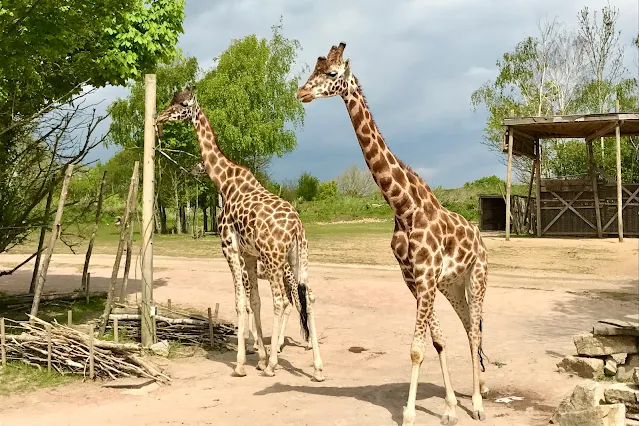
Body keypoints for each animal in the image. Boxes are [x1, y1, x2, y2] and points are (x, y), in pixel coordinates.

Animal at [156, 85, 324, 380]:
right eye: (172, 100)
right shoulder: (249, 255)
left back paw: (273, 366)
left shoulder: (230, 248)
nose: (160, 117)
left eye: (183, 104)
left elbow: (239, 302)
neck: (224, 182)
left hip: (274, 260)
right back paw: (316, 367)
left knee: (282, 301)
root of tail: (296, 226)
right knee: (309, 298)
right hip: (298, 258)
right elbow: (254, 302)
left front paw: (242, 363)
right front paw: (259, 356)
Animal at [298, 44, 490, 426]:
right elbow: (437, 341)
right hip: (453, 285)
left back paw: (478, 404)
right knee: (466, 329)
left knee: (476, 330)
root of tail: (480, 239)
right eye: (314, 69)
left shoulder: (426, 276)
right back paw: (468, 399)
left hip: (477, 277)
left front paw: (411, 413)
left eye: (332, 74)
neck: (403, 206)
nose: (301, 93)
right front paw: (448, 408)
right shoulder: (413, 278)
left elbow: (417, 349)